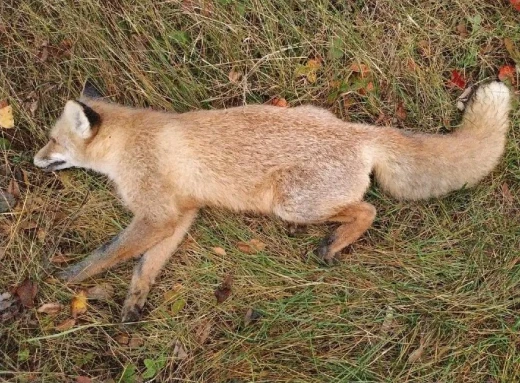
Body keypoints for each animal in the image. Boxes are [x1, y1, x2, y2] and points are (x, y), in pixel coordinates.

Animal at [33, 81, 512, 324]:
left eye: (53, 141)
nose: (33, 159)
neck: (130, 145)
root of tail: (357, 132)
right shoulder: (180, 214)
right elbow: (145, 267)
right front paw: (134, 305)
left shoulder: (157, 214)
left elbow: (106, 254)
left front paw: (64, 280)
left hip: (291, 203)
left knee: (368, 210)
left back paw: (334, 243)